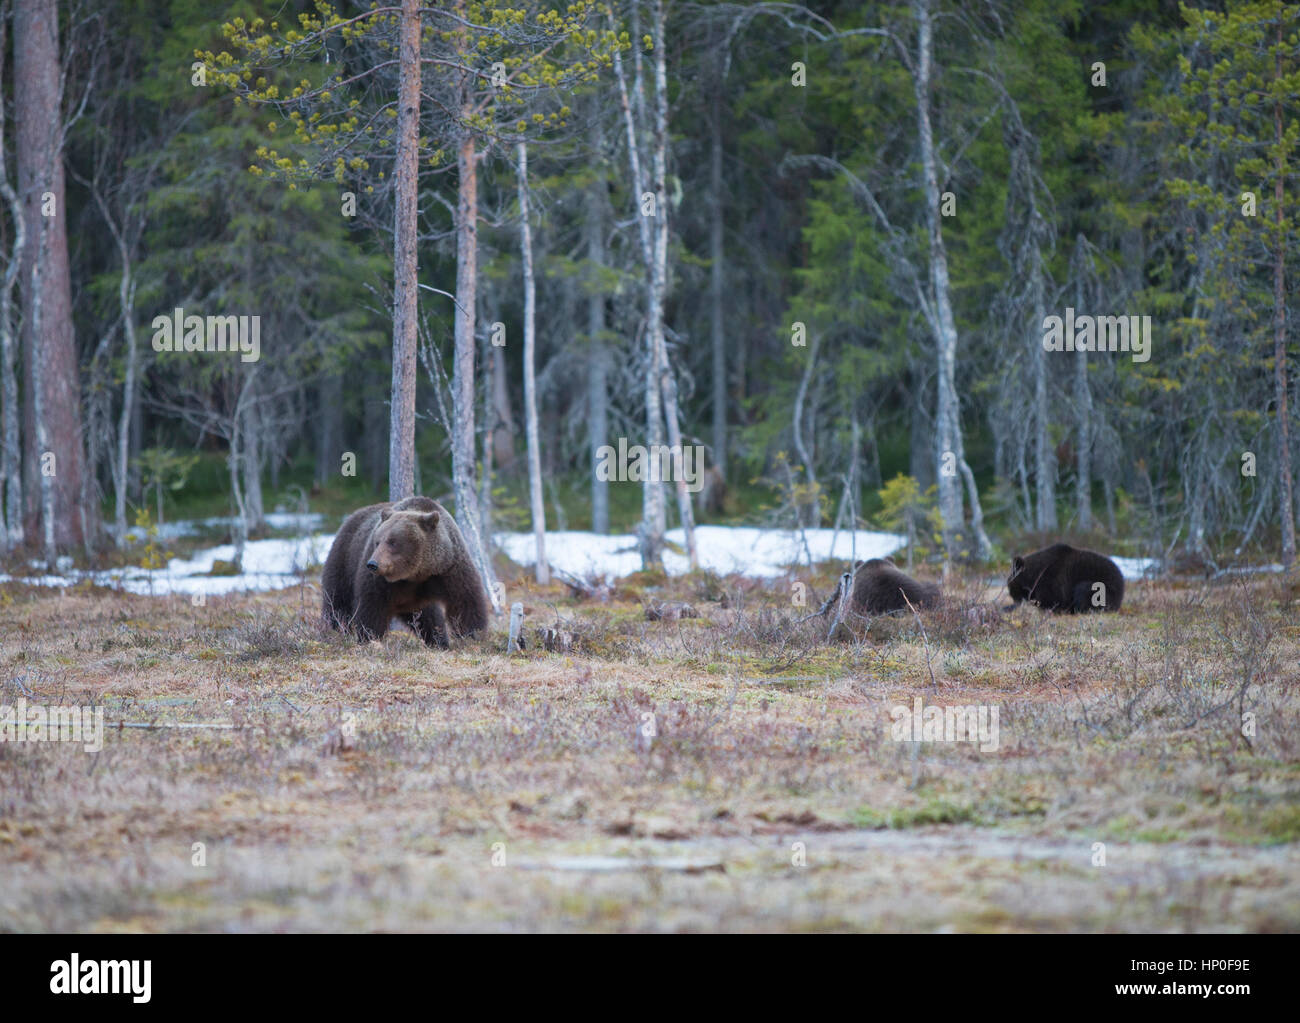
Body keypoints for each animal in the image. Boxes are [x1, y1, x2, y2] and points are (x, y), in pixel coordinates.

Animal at [322, 496, 488, 647]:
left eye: (392, 542)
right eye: (377, 541)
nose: (372, 564)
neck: (416, 573)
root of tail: (351, 516)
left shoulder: (448, 567)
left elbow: (465, 600)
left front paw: (474, 636)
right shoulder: (380, 582)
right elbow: (372, 606)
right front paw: (370, 639)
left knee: (430, 619)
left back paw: (439, 642)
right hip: (344, 560)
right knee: (337, 603)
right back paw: (333, 631)